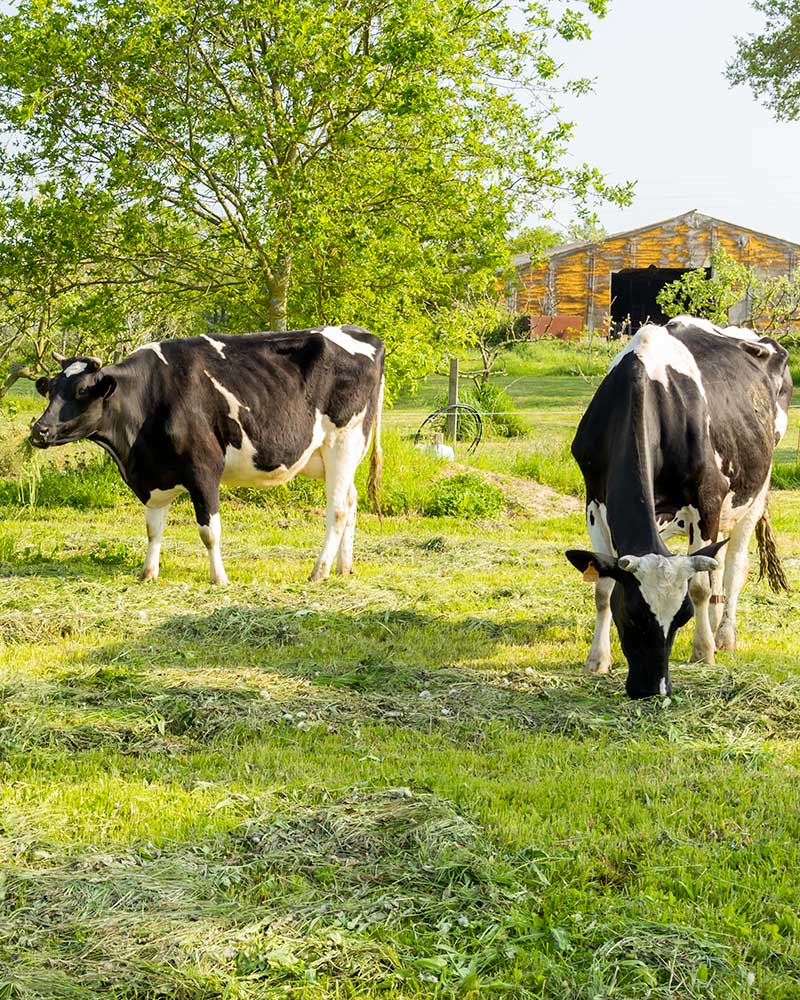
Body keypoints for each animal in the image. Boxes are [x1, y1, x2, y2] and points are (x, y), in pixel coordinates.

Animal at [30, 326, 384, 584]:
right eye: (50, 390)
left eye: (80, 391)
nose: (39, 430)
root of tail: (362, 333)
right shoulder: (154, 477)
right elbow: (153, 528)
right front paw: (148, 574)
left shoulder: (204, 469)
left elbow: (209, 531)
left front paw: (219, 578)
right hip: (333, 457)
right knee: (351, 502)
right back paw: (343, 567)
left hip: (343, 443)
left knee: (338, 510)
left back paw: (319, 571)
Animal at [566, 315, 791, 699]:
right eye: (631, 614)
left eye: (681, 618)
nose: (654, 689)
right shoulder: (594, 501)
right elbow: (602, 587)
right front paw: (597, 660)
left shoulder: (709, 498)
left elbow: (699, 586)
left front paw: (703, 651)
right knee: (715, 563)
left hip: (755, 493)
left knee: (732, 567)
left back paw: (723, 635)